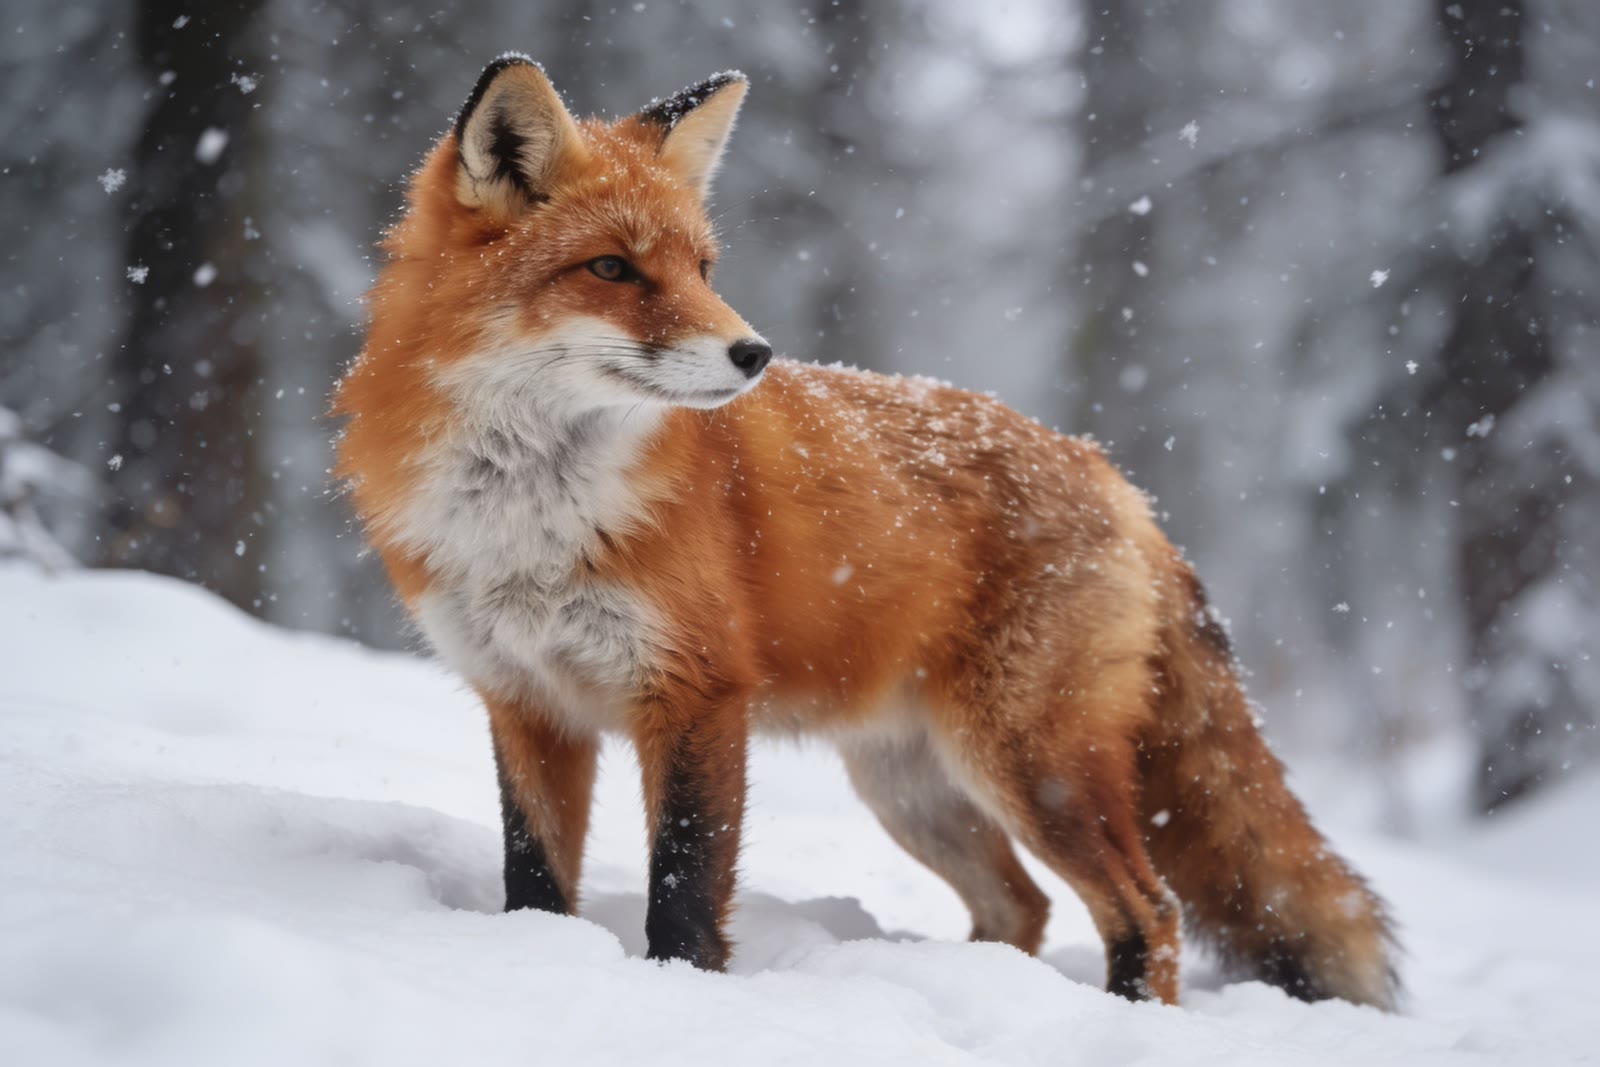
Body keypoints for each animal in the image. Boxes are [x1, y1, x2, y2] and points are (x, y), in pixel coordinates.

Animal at [332, 55, 1399, 1008]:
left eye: (703, 268)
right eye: (611, 268)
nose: (754, 352)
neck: (529, 517)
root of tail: (1112, 471)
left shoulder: (697, 693)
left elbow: (684, 890)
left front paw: (682, 1000)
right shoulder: (527, 701)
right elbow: (534, 881)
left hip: (1029, 764)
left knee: (1151, 909)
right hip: (915, 789)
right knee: (1023, 906)